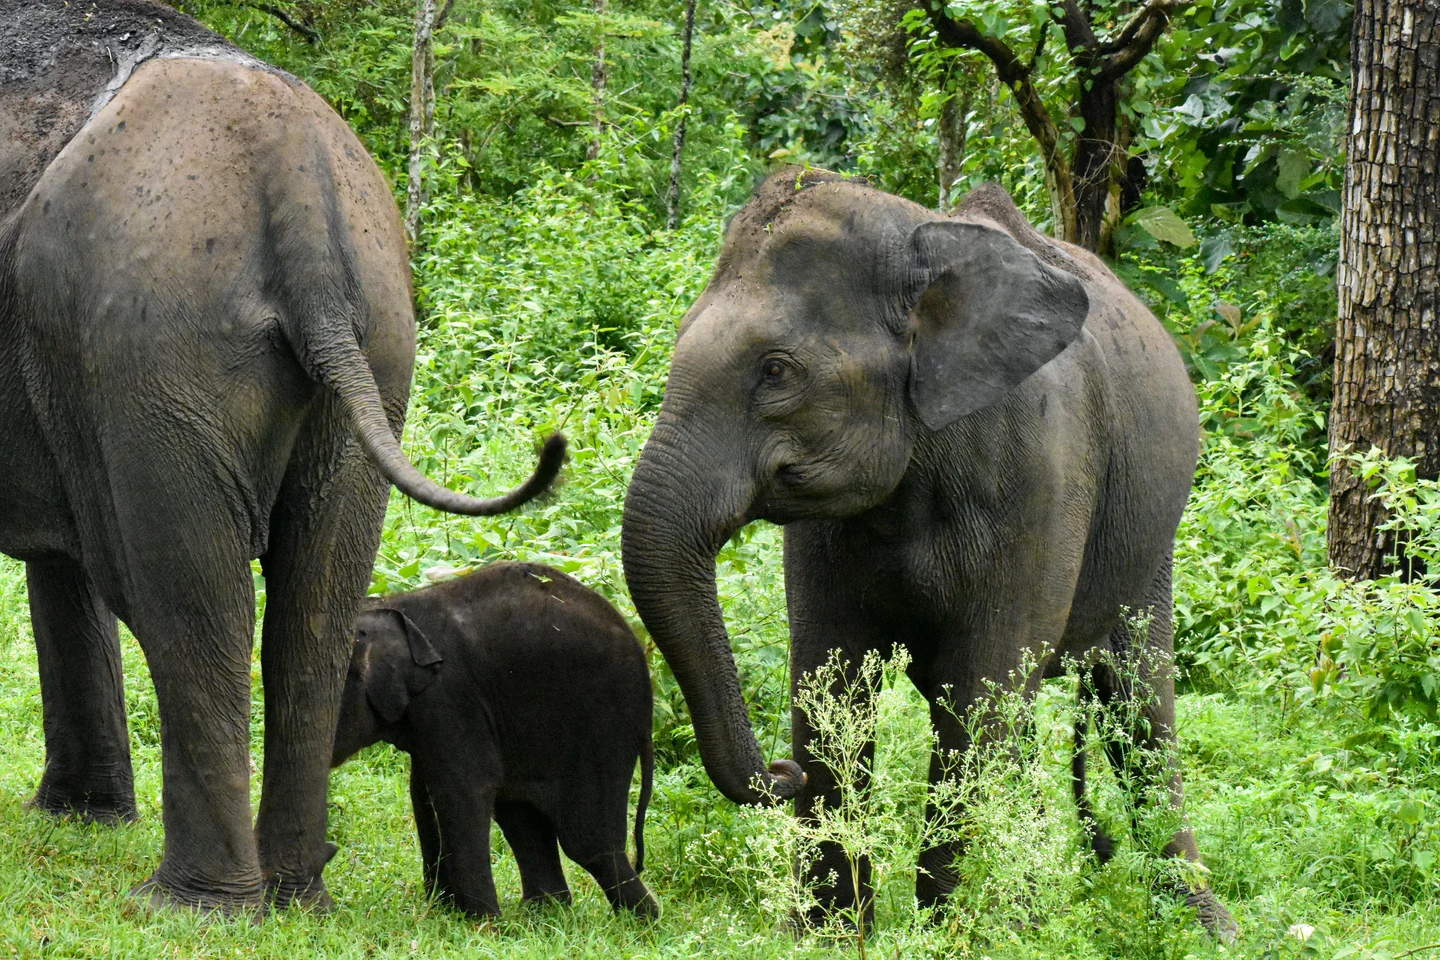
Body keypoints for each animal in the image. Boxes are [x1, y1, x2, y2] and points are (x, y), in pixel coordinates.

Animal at [0, 0, 563, 911]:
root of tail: (292, 171)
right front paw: (80, 818)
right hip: (373, 345)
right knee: (313, 608)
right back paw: (295, 892)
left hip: (155, 355)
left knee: (191, 602)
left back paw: (192, 905)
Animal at [331, 562, 658, 919]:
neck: (390, 606)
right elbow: (423, 791)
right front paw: (446, 910)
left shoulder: (451, 697)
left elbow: (463, 790)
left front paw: (477, 922)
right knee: (522, 818)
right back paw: (544, 914)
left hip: (603, 724)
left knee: (586, 838)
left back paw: (641, 920)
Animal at [620, 169, 1237, 938]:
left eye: (776, 370)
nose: (780, 775)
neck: (923, 244)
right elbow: (831, 675)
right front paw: (828, 933)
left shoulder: (1041, 475)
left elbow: (978, 685)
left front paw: (946, 931)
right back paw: (1030, 914)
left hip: (1151, 535)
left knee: (1136, 703)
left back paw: (1200, 925)